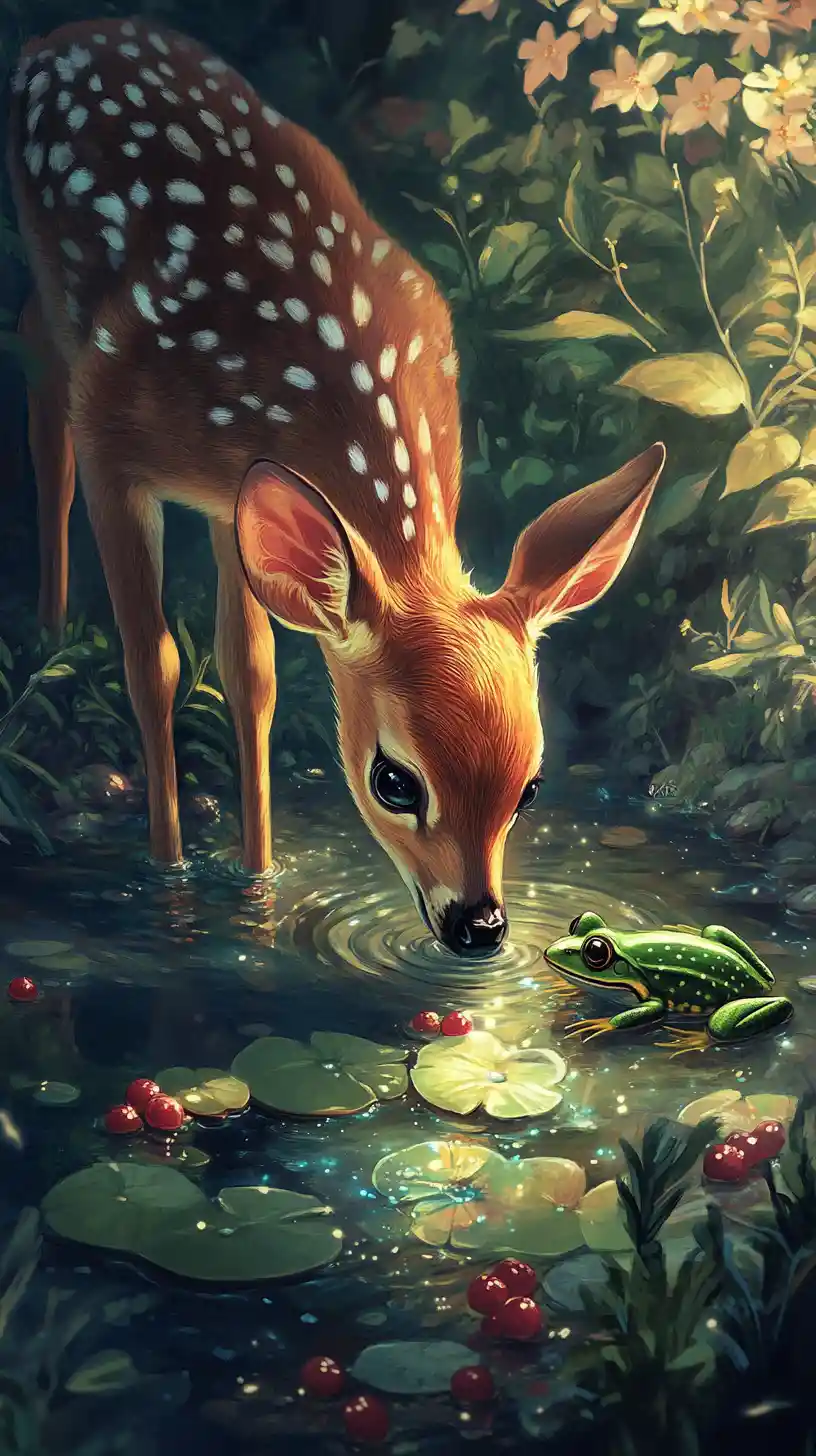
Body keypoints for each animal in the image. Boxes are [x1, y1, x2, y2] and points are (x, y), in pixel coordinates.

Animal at [7, 18, 666, 959]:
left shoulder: (234, 496)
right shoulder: (114, 443)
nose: (482, 925)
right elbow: (154, 664)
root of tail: (68, 32)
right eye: (394, 780)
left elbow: (252, 674)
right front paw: (170, 880)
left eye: (531, 786)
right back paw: (51, 628)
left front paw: (257, 882)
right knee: (36, 346)